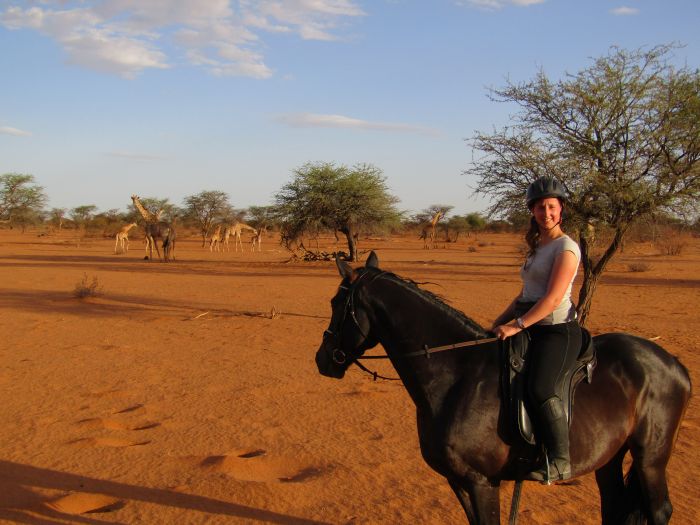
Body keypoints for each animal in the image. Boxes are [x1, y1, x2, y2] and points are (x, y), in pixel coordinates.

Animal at [316, 252, 688, 520]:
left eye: (336, 303)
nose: (322, 359)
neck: (456, 375)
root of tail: (673, 363)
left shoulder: (482, 482)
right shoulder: (459, 481)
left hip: (650, 457)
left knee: (659, 510)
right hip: (610, 455)